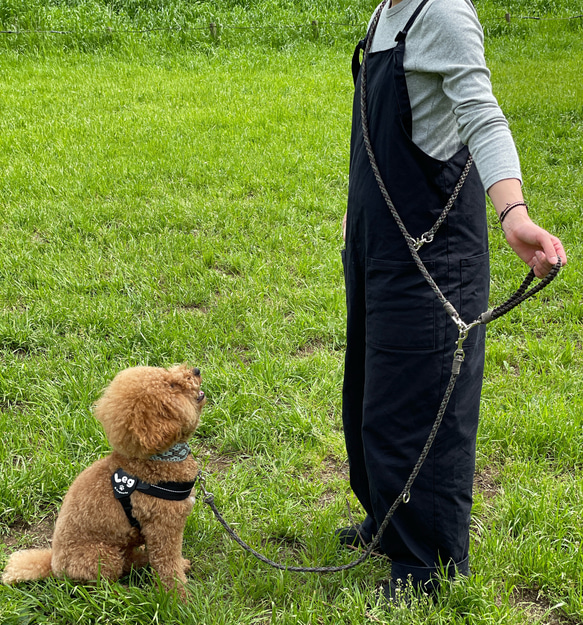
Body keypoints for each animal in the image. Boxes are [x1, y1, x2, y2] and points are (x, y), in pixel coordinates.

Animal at [1, 364, 208, 596]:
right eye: (172, 386)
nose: (196, 370)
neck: (156, 459)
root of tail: (54, 566)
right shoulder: (163, 529)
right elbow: (167, 567)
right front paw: (179, 599)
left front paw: (180, 570)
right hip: (102, 556)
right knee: (104, 586)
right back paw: (126, 593)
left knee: (128, 561)